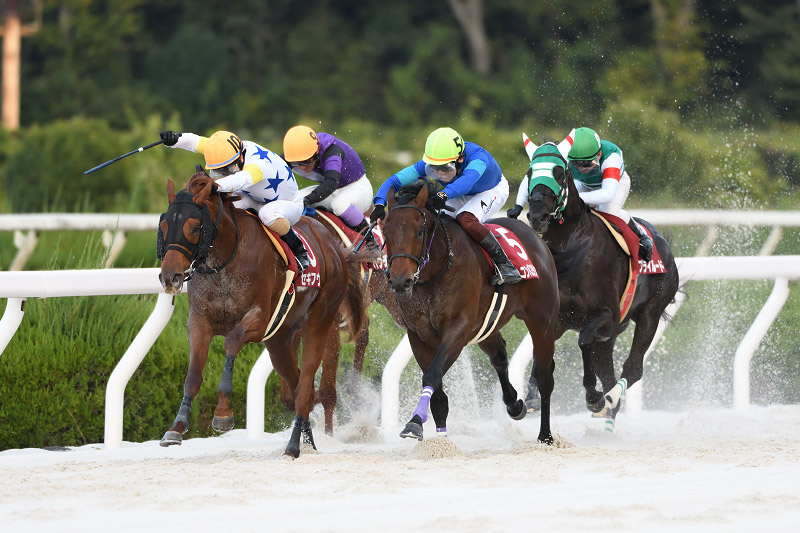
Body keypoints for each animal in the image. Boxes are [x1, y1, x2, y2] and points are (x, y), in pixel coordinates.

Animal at [157, 171, 371, 457]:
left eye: (193, 227)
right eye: (164, 225)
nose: (170, 277)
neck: (225, 261)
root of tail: (336, 249)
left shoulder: (259, 321)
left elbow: (232, 341)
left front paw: (223, 413)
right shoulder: (199, 321)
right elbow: (192, 375)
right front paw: (176, 427)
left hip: (319, 322)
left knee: (306, 389)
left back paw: (293, 446)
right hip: (280, 340)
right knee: (298, 389)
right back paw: (307, 442)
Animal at [382, 180, 561, 444]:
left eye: (420, 232)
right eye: (385, 232)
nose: (400, 281)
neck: (437, 270)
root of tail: (533, 237)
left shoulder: (460, 328)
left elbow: (432, 374)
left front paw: (414, 422)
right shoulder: (418, 335)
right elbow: (438, 395)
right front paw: (439, 440)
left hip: (542, 321)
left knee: (545, 378)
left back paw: (545, 436)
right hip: (487, 325)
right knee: (499, 355)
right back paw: (514, 404)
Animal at [523, 139, 680, 428]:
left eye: (559, 172)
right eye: (530, 172)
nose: (538, 214)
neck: (570, 250)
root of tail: (663, 242)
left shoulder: (605, 315)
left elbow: (584, 341)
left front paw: (594, 397)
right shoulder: (557, 318)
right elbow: (544, 349)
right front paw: (531, 397)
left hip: (649, 314)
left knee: (632, 368)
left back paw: (609, 400)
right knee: (608, 369)